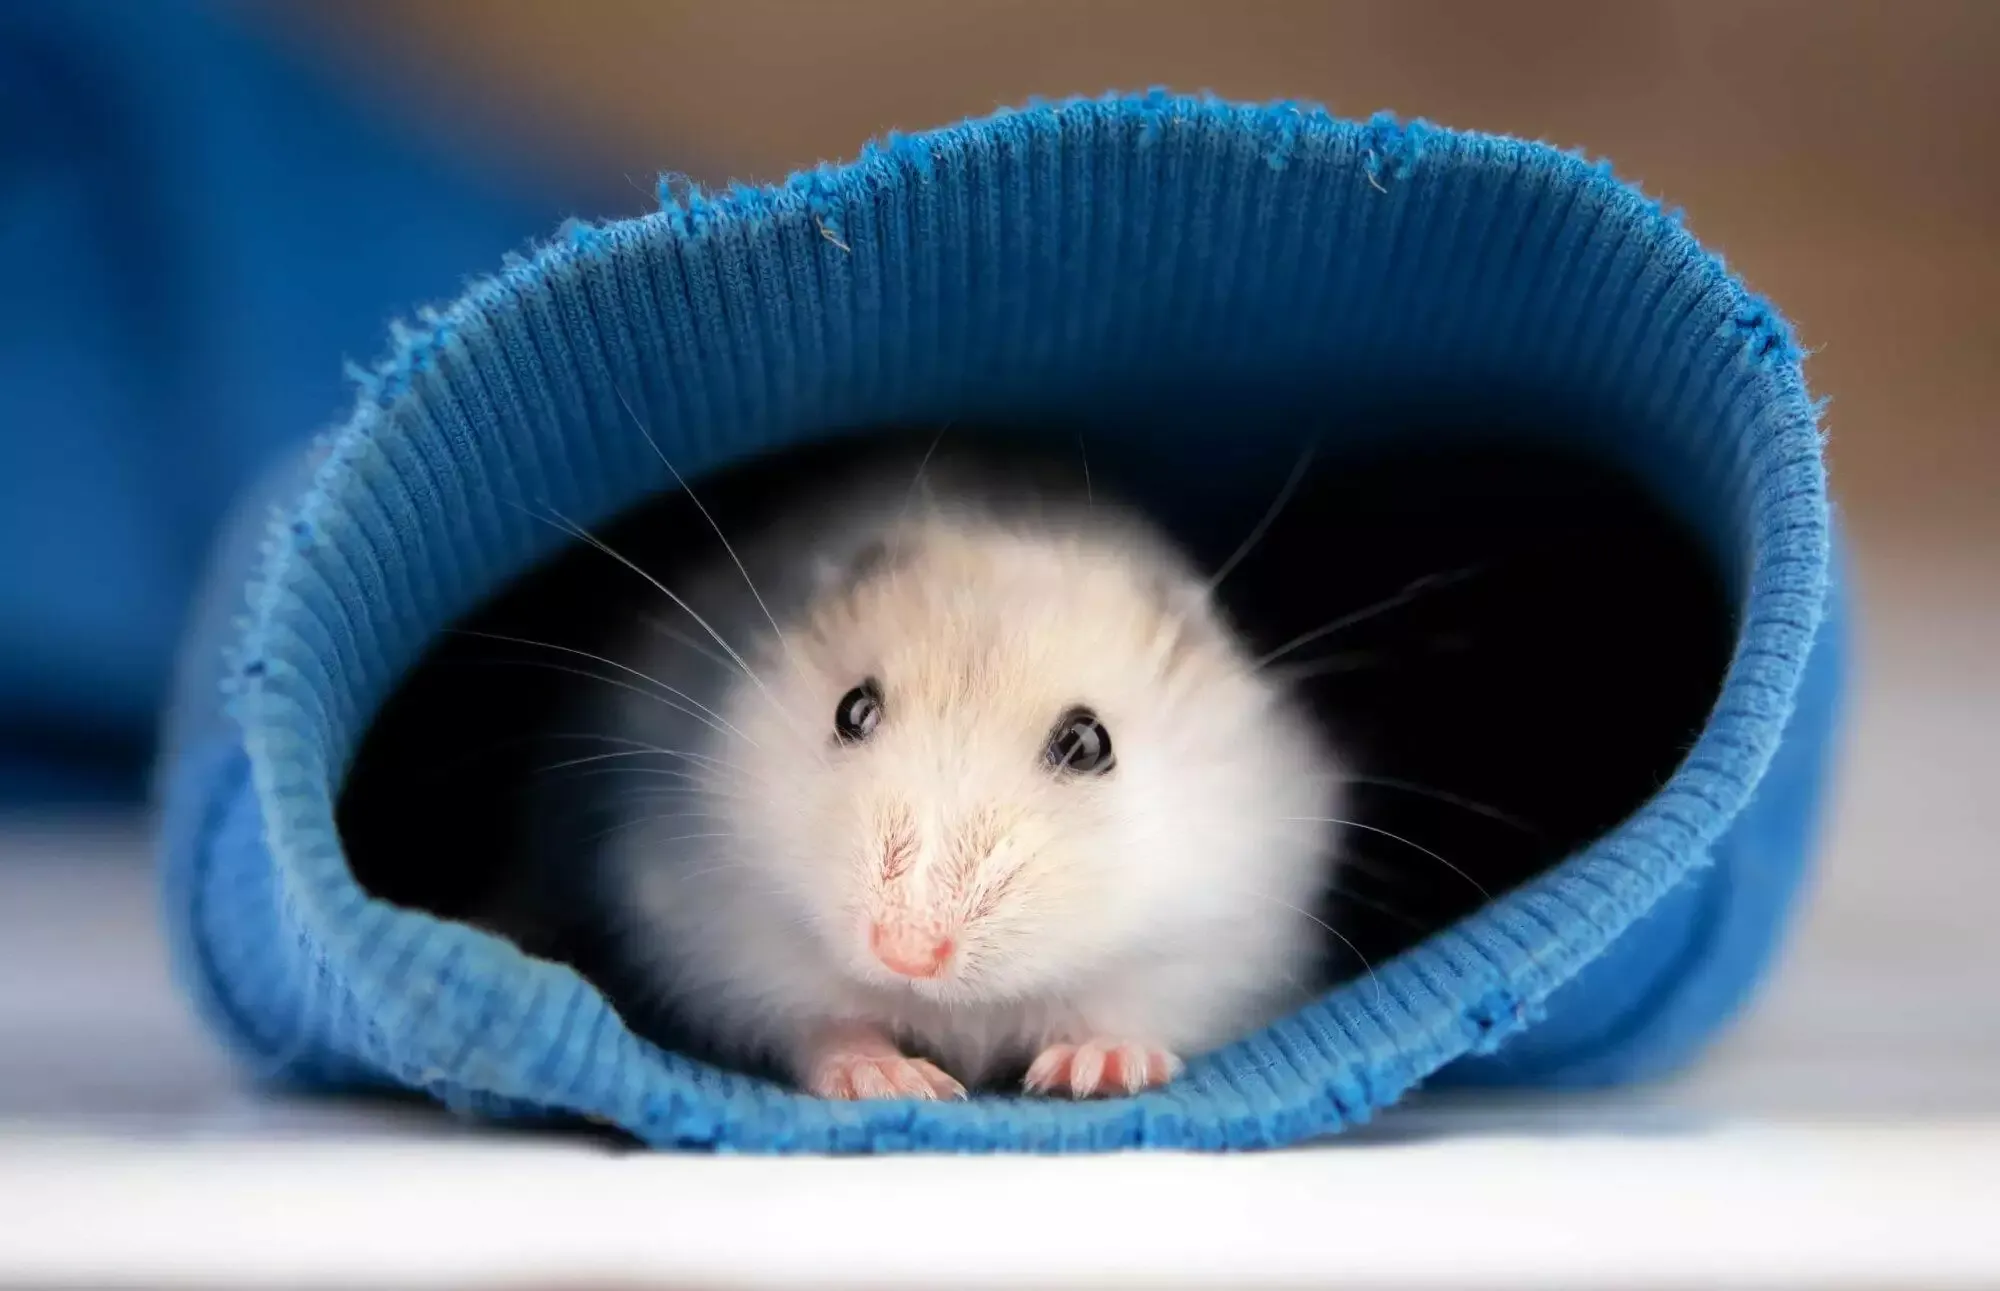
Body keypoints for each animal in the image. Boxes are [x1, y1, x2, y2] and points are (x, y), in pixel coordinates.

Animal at [509, 452, 1344, 1100]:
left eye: (1087, 742)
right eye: (852, 709)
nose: (906, 952)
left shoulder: (1224, 941)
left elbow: (1127, 1008)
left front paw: (1095, 1068)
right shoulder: (715, 929)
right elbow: (820, 1019)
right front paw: (896, 1081)